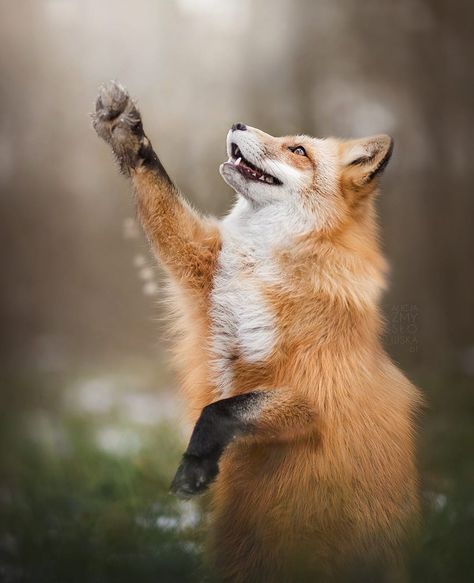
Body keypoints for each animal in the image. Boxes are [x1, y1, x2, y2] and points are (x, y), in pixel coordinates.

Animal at [92, 83, 422, 583]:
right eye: (287, 140)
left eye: (298, 150)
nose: (237, 123)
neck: (261, 265)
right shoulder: (202, 275)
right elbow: (162, 201)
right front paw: (127, 136)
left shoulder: (314, 393)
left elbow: (221, 410)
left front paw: (196, 464)